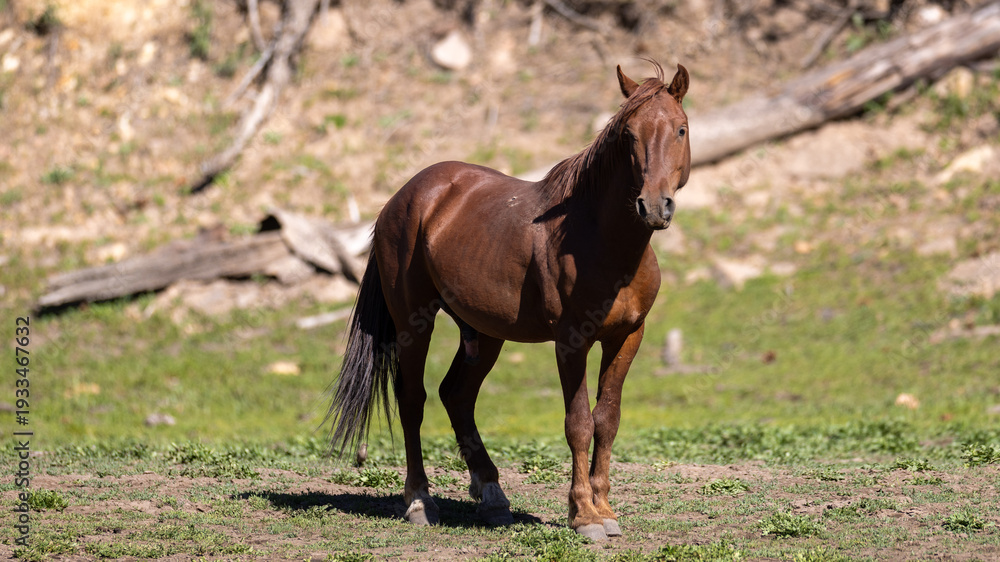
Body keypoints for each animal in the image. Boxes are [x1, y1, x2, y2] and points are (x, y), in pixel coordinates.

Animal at [327, 60, 690, 541]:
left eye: (681, 129)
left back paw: (493, 497)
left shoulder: (628, 337)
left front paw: (606, 510)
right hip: (413, 323)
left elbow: (606, 420)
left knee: (456, 396)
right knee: (413, 399)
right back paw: (420, 501)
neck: (601, 241)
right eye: (629, 134)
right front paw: (584, 516)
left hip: (483, 333)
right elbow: (579, 423)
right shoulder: (571, 341)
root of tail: (404, 197)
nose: (653, 206)